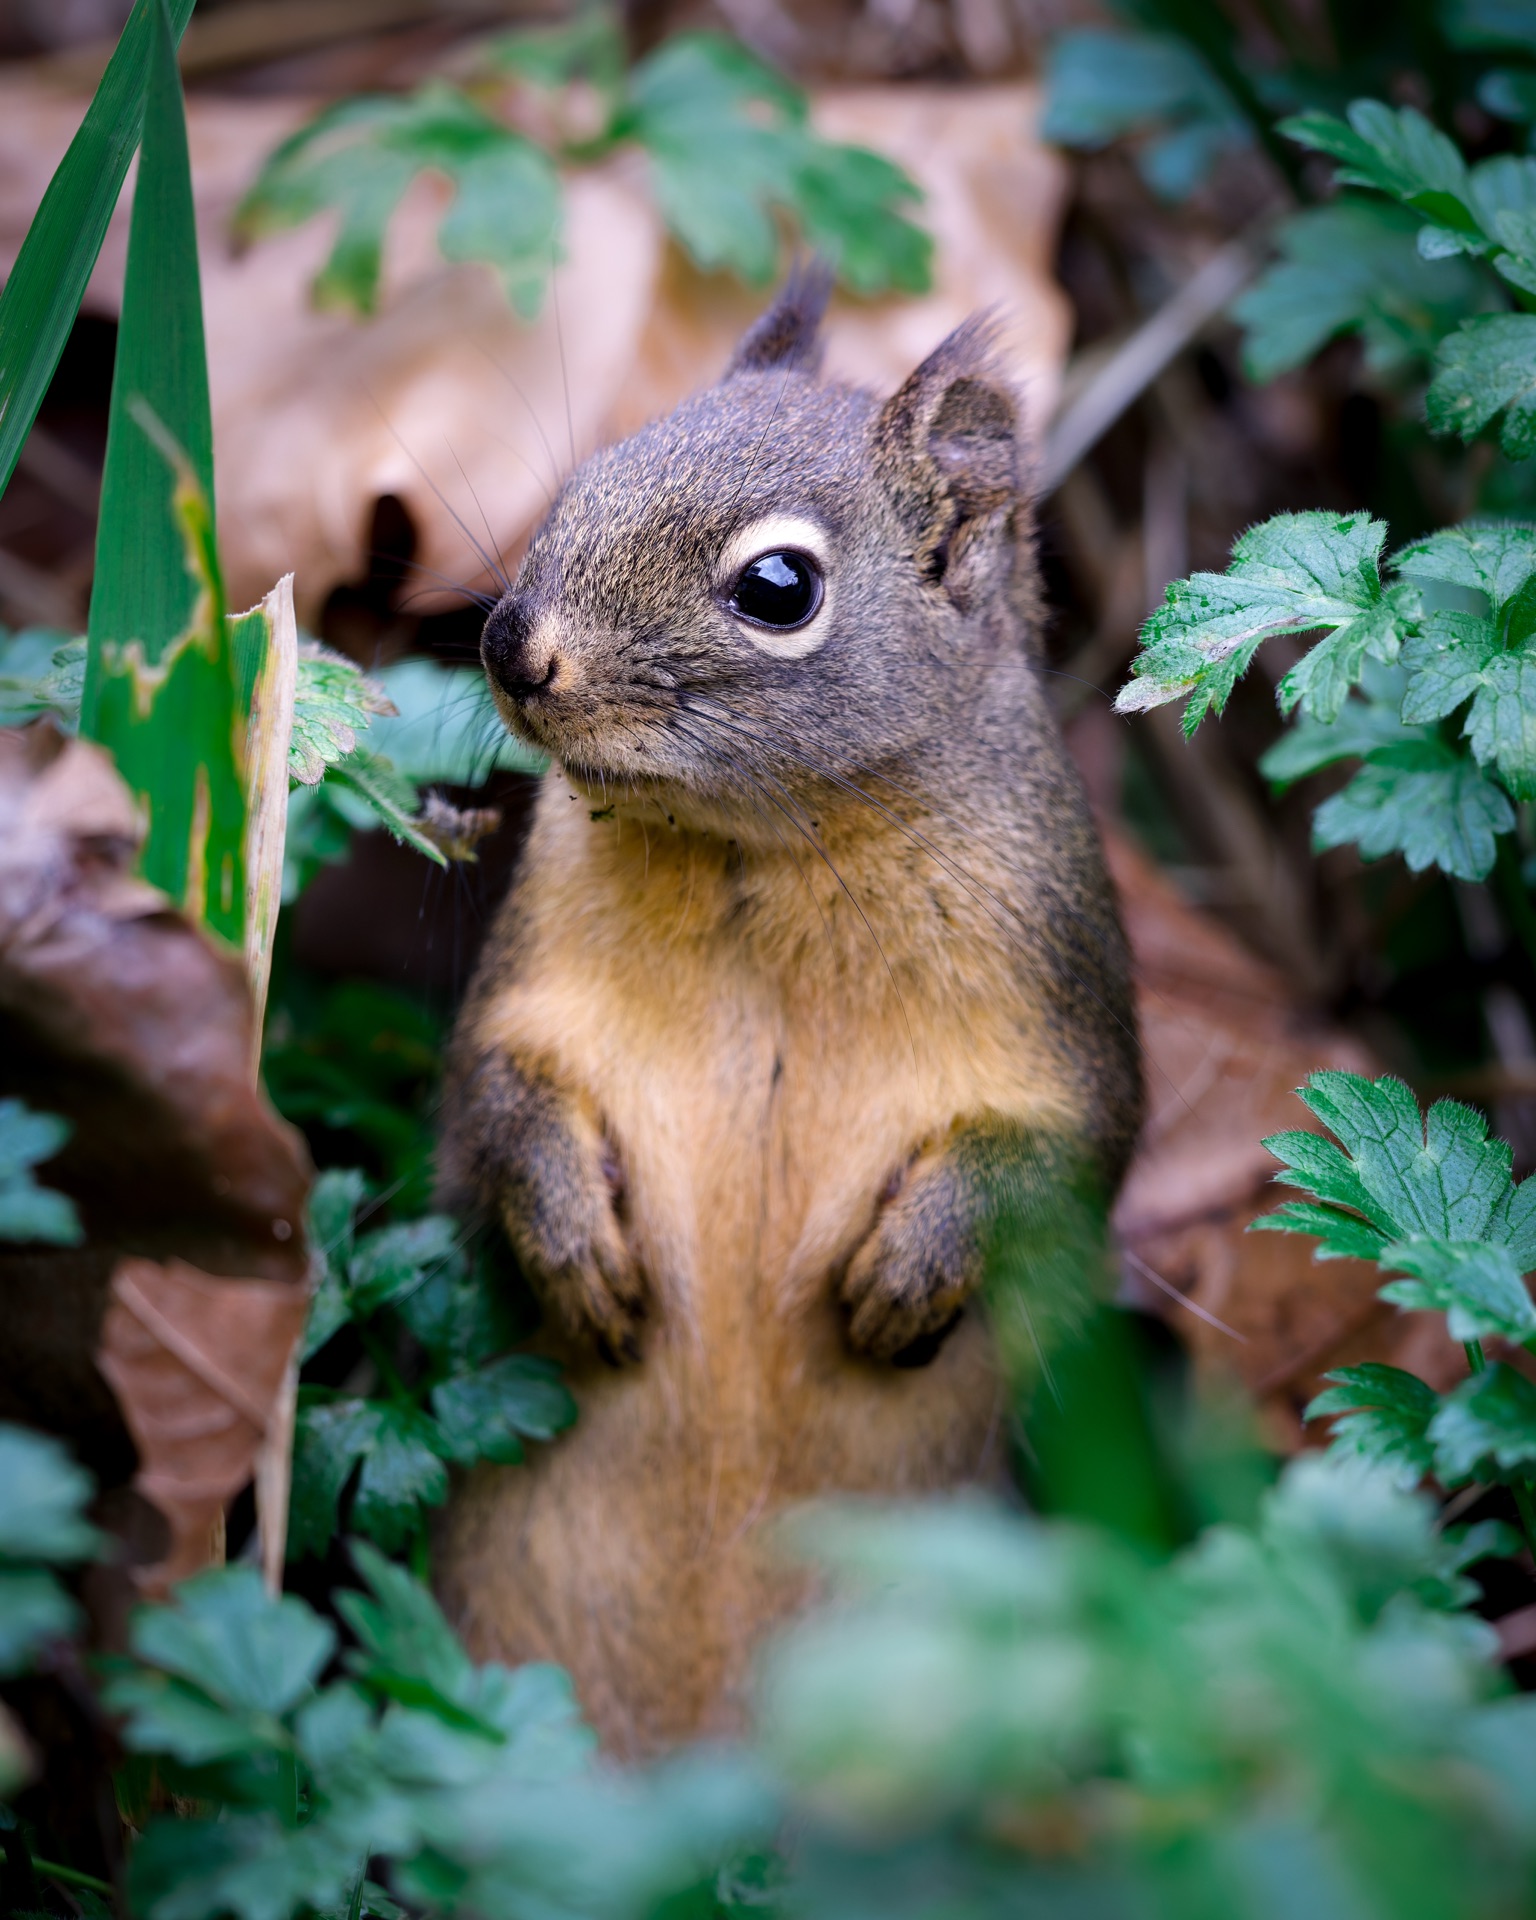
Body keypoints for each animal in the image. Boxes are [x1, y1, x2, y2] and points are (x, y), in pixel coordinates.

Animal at [434, 267, 1142, 1755]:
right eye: (582, 478)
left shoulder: (1067, 1006)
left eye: (778, 587)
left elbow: (1059, 1163)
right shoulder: (523, 1000)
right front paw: (574, 1251)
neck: (766, 864)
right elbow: (495, 1108)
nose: (513, 645)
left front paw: (912, 1269)